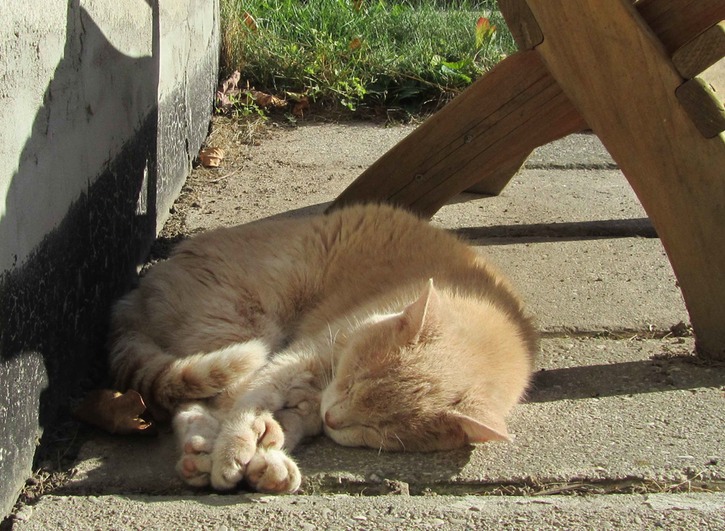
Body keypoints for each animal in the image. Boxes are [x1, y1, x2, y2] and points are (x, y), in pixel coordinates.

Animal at [109, 204, 536, 494]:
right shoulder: (300, 355)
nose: (334, 418)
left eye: (378, 429)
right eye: (354, 380)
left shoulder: (309, 397)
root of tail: (135, 293)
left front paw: (268, 458)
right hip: (244, 329)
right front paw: (233, 451)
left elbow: (287, 422)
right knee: (199, 397)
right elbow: (248, 402)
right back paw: (203, 449)